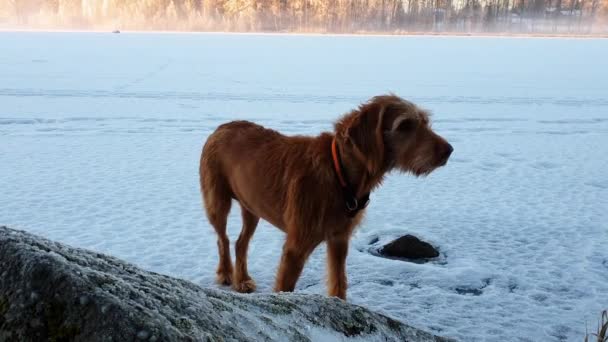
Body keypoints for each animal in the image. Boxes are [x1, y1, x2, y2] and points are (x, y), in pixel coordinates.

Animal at [200, 93, 452, 300]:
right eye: (405, 125)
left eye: (425, 121)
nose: (448, 150)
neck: (340, 172)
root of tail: (221, 128)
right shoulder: (296, 247)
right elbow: (285, 288)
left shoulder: (339, 240)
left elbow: (339, 282)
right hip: (217, 203)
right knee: (222, 238)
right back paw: (226, 274)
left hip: (252, 207)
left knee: (241, 242)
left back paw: (242, 280)